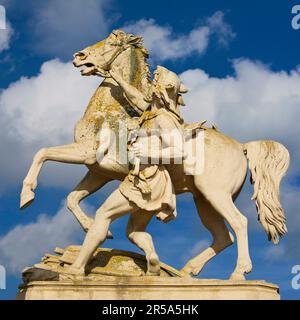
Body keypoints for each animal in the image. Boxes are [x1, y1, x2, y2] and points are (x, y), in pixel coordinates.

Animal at [19, 30, 290, 280]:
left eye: (112, 42)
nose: (79, 56)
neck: (110, 112)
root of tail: (242, 145)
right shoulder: (99, 172)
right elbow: (72, 197)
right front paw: (93, 228)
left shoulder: (86, 154)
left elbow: (42, 153)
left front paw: (27, 196)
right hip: (204, 200)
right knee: (223, 237)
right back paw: (185, 271)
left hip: (215, 194)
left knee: (239, 223)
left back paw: (238, 273)